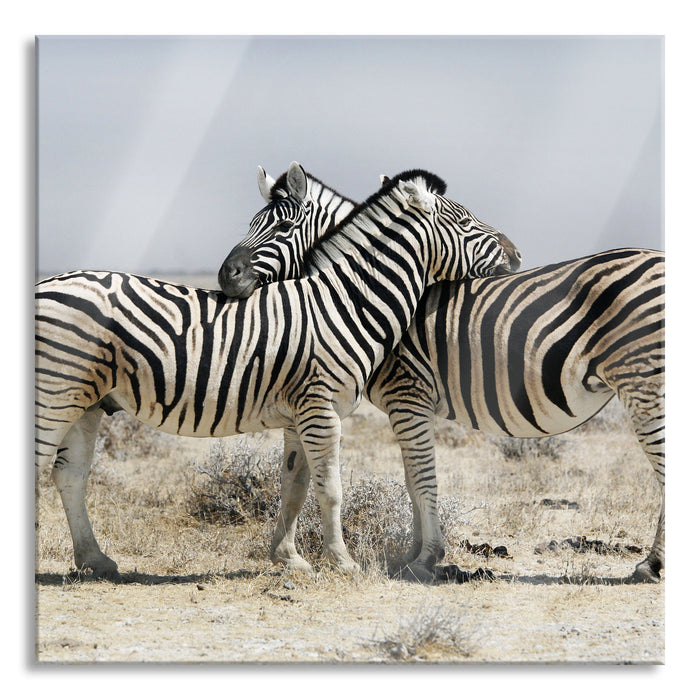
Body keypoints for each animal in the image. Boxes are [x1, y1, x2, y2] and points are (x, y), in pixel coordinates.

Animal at [35, 167, 512, 579]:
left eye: (282, 227)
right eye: (466, 221)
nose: (514, 253)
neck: (344, 302)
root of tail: (45, 284)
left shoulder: (300, 415)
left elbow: (294, 485)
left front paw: (289, 558)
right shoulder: (321, 410)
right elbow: (330, 489)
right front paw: (343, 563)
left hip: (87, 402)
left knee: (69, 476)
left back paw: (95, 560)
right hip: (54, 395)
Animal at [218, 165, 665, 584]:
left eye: (281, 227)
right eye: (253, 224)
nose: (226, 276)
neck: (358, 295)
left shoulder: (407, 395)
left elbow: (421, 479)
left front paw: (426, 558)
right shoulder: (407, 406)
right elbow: (411, 480)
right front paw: (414, 554)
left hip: (643, 382)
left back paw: (651, 565)